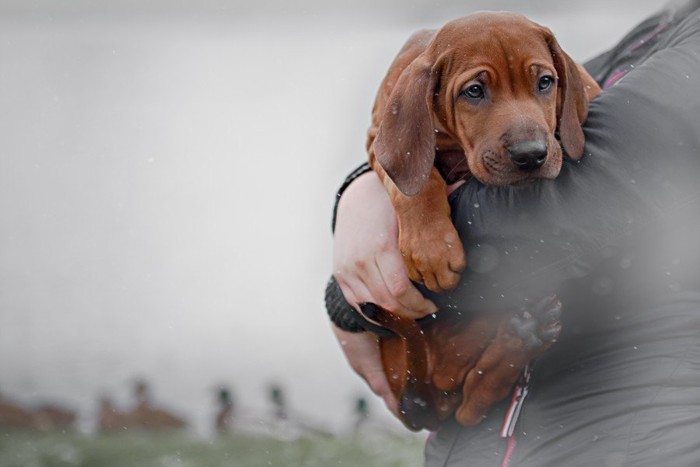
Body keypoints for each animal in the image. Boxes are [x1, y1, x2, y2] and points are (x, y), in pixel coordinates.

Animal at [366, 12, 600, 432]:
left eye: (545, 82)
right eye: (474, 91)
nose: (531, 155)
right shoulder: (378, 141)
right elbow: (414, 181)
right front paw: (431, 249)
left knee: (469, 399)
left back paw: (523, 337)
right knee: (465, 400)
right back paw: (523, 337)